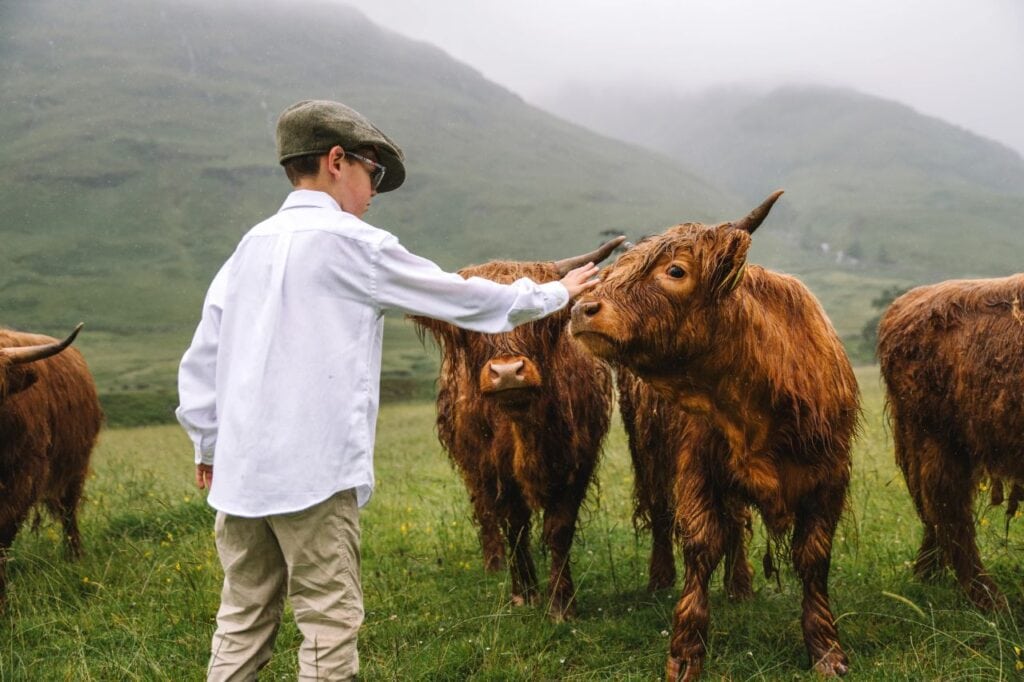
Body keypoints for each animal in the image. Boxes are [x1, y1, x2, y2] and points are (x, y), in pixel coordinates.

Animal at [411, 239, 621, 620]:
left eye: (541, 313)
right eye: (471, 321)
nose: (508, 372)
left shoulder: (577, 463)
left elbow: (559, 529)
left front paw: (561, 602)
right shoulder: (494, 470)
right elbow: (514, 524)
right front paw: (524, 593)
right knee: (486, 515)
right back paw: (494, 563)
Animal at [570, 191, 861, 680]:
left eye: (675, 271)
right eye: (612, 272)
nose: (580, 309)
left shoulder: (830, 477)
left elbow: (813, 556)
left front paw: (827, 649)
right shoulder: (696, 466)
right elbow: (703, 543)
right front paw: (685, 652)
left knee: (737, 523)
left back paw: (740, 584)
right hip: (650, 455)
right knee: (663, 514)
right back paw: (660, 579)